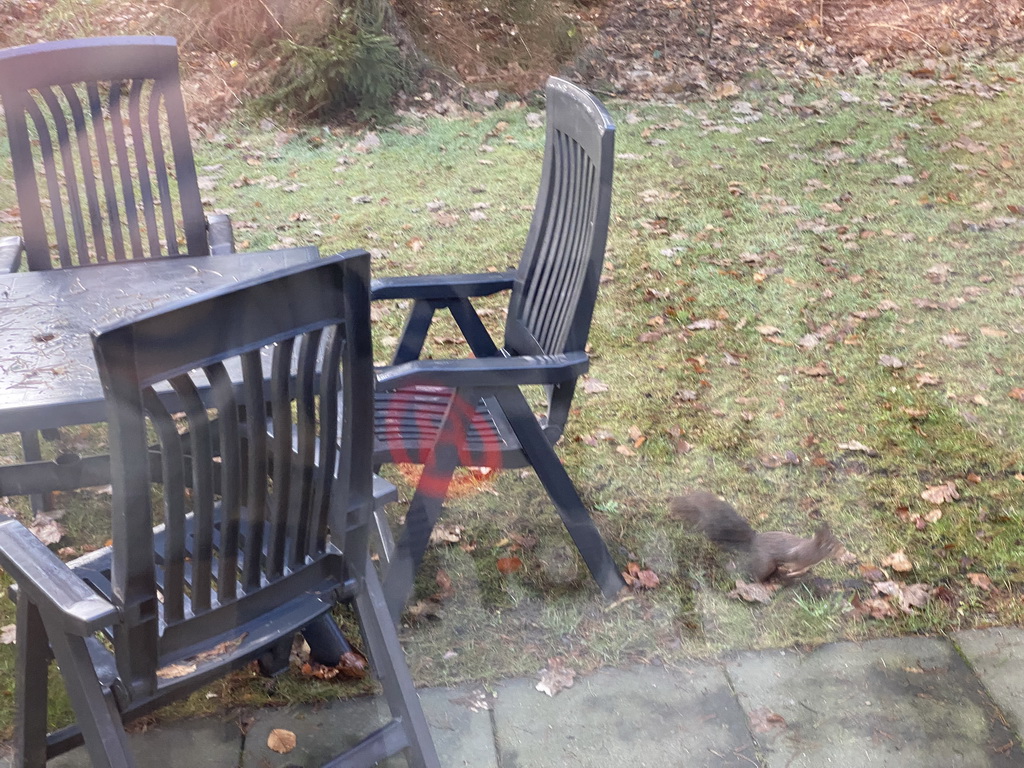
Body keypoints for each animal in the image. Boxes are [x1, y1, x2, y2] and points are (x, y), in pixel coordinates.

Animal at [671, 493, 839, 581]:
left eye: (836, 540)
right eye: (831, 548)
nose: (842, 551)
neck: (813, 549)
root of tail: (753, 541)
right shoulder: (800, 558)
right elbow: (795, 567)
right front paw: (793, 572)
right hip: (765, 564)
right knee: (756, 574)